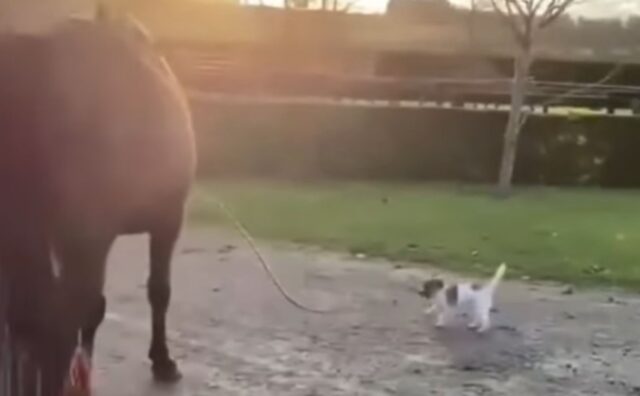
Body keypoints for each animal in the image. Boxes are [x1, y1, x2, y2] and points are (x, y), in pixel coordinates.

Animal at [0, 8, 195, 396]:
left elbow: (93, 311)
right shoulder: (167, 219)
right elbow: (158, 291)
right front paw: (163, 361)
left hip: (25, 232)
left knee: (28, 318)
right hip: (79, 237)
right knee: (54, 319)